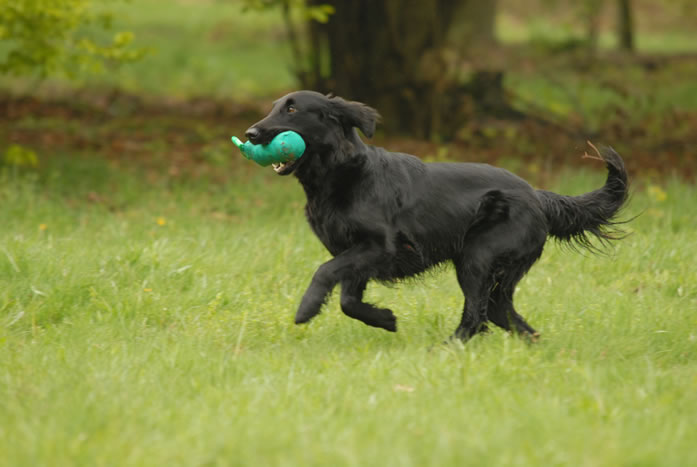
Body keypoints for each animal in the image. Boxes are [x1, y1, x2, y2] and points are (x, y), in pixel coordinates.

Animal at [244, 90, 629, 341]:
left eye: (292, 109)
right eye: (274, 107)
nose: (250, 133)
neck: (341, 174)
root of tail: (536, 194)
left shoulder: (378, 246)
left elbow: (325, 273)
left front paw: (306, 308)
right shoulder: (354, 254)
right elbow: (348, 300)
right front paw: (384, 319)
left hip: (476, 258)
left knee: (477, 314)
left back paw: (448, 348)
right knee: (502, 314)